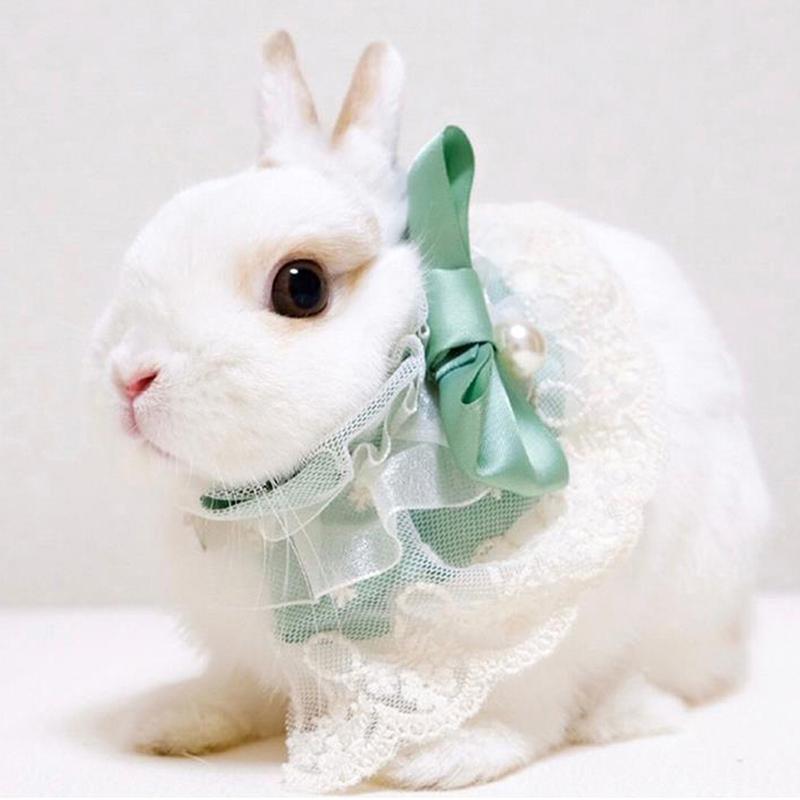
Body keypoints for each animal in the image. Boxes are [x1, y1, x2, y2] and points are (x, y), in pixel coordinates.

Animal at [89, 31, 770, 790]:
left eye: (301, 287)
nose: (130, 378)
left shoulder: (531, 618)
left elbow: (520, 707)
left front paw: (447, 758)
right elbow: (242, 688)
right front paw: (171, 722)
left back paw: (626, 711)